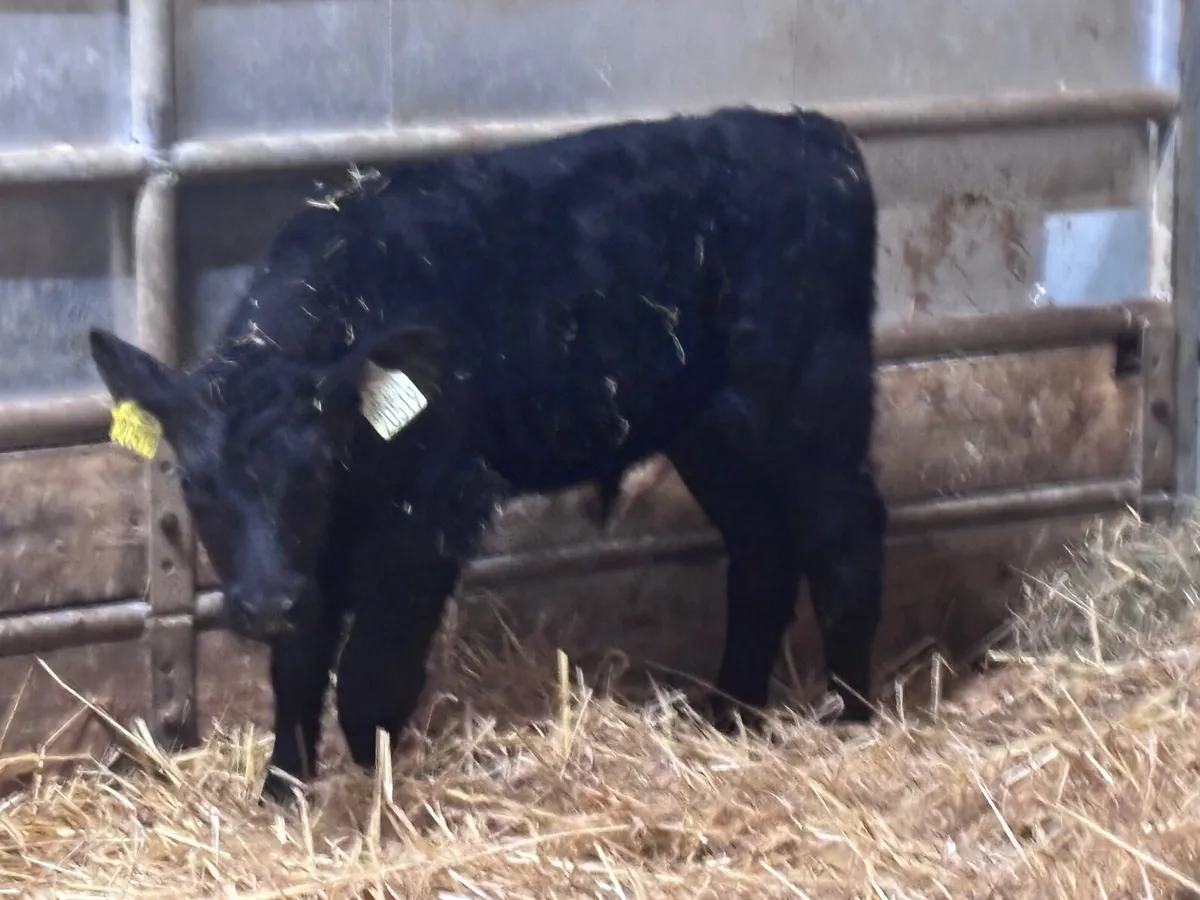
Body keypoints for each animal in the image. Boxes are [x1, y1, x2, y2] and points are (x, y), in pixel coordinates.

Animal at [87, 105, 887, 804]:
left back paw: (852, 719)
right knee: (762, 551)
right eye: (195, 484)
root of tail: (815, 133)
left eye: (315, 470)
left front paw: (380, 792)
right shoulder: (311, 560)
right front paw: (283, 792)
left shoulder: (435, 511)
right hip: (712, 428)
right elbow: (298, 667)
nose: (264, 603)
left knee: (847, 537)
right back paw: (732, 714)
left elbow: (370, 677)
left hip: (815, 397)